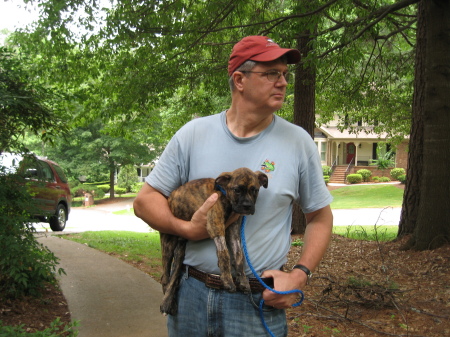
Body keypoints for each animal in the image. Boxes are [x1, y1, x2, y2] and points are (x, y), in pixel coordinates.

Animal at [161, 168, 268, 316]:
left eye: (255, 190)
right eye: (237, 190)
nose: (247, 206)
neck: (225, 196)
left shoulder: (233, 232)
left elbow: (239, 255)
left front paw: (243, 280)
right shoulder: (216, 226)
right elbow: (225, 254)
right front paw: (227, 280)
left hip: (181, 249)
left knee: (175, 275)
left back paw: (171, 303)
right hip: (169, 244)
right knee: (165, 277)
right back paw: (166, 304)